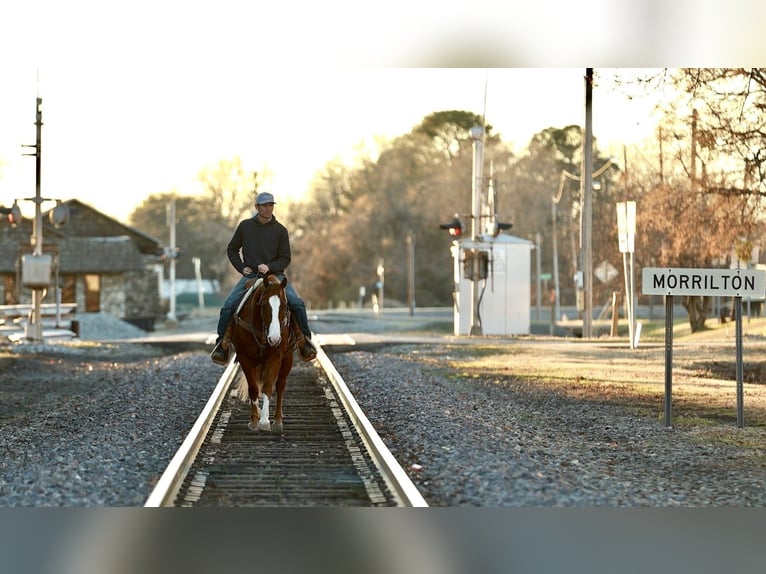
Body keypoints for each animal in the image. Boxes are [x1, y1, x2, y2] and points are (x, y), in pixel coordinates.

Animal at [229, 274, 295, 433]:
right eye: (264, 305)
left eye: (284, 305)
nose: (275, 338)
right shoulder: (245, 358)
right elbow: (253, 388)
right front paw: (254, 420)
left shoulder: (275, 357)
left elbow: (267, 387)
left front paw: (264, 421)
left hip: (287, 358)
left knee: (280, 385)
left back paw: (278, 421)